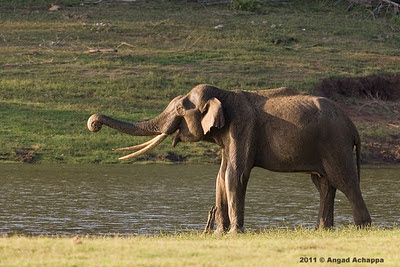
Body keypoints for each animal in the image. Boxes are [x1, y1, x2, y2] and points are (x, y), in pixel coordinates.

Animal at [86, 85, 372, 233]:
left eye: (179, 109)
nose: (93, 124)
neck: (226, 93)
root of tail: (354, 127)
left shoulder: (242, 128)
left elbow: (235, 174)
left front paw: (235, 233)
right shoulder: (228, 135)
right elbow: (220, 176)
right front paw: (219, 233)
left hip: (335, 145)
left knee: (345, 182)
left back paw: (363, 228)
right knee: (324, 184)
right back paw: (322, 230)